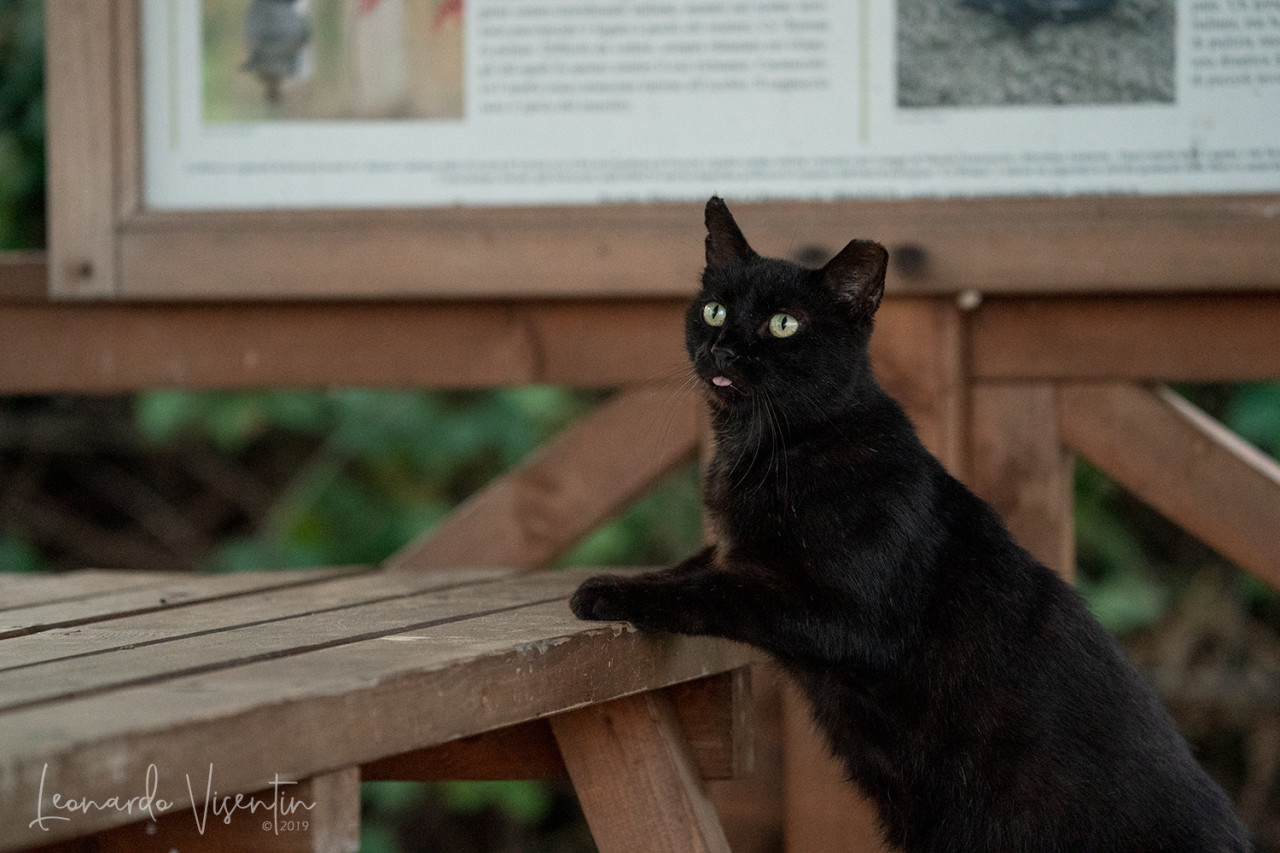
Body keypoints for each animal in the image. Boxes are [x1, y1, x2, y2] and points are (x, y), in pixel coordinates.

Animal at [573, 197, 1249, 850]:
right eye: (715, 311)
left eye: (783, 324)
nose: (724, 349)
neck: (766, 447)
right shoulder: (736, 551)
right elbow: (695, 567)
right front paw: (626, 582)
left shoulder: (850, 615)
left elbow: (720, 589)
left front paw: (606, 593)